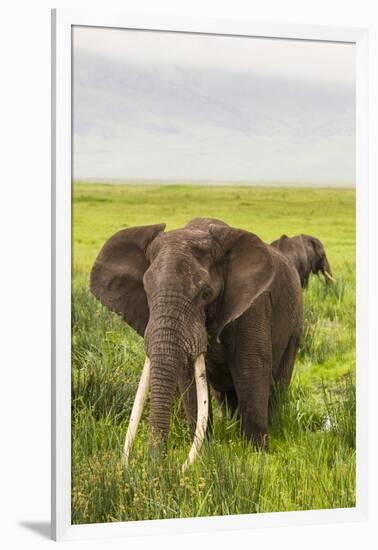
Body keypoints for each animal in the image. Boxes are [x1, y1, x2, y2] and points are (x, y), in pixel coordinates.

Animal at [90, 219, 302, 470]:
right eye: (146, 290)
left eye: (205, 293)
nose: (158, 464)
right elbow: (189, 381)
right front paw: (206, 456)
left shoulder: (253, 307)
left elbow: (251, 371)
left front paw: (256, 457)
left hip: (295, 324)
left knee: (277, 384)